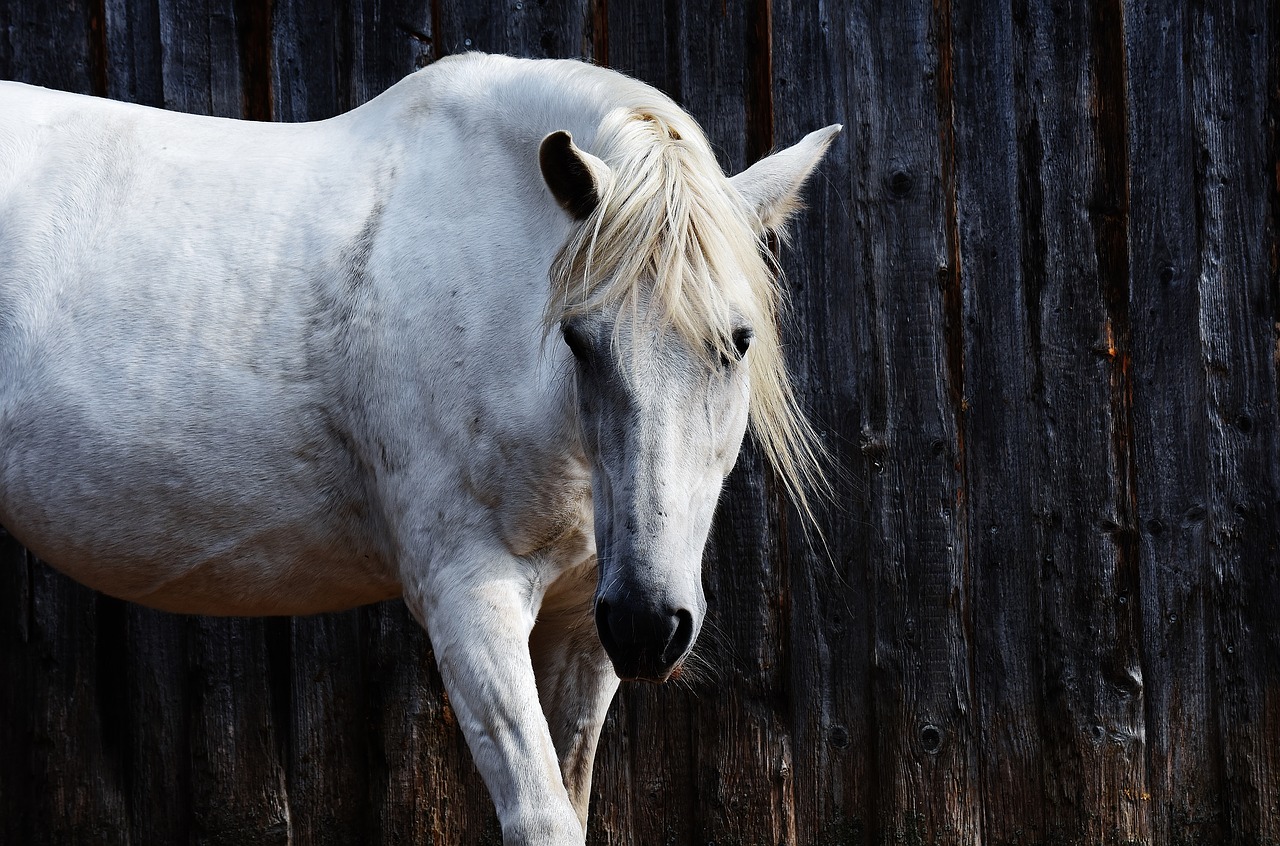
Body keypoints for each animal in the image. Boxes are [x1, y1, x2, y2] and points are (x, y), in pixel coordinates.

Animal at [0, 54, 834, 844]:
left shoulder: (581, 626)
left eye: (738, 342)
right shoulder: (469, 601)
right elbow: (542, 817)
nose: (648, 624)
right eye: (577, 339)